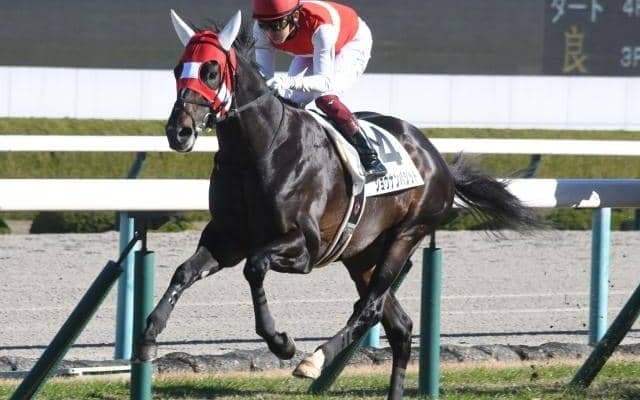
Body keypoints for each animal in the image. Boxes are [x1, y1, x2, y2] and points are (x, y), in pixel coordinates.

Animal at [135, 10, 539, 399]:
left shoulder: (305, 248)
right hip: (361, 254)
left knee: (370, 309)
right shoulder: (228, 238)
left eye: (211, 70)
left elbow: (255, 266)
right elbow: (183, 273)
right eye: (178, 69)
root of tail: (436, 158)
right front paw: (148, 336)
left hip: (407, 234)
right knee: (399, 326)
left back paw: (314, 360)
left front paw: (281, 343)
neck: (258, 151)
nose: (179, 131)